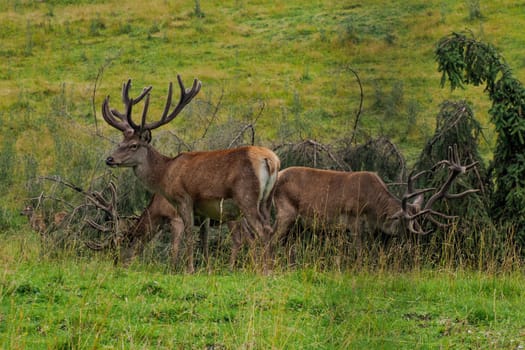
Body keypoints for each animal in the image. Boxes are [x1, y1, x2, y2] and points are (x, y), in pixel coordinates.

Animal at [101, 76, 278, 274]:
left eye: (133, 145)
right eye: (120, 142)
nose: (109, 159)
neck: (165, 174)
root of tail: (270, 160)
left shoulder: (183, 198)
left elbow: (188, 236)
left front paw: (188, 269)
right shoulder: (203, 212)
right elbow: (204, 239)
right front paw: (205, 269)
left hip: (246, 197)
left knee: (262, 231)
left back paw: (265, 271)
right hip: (266, 200)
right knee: (268, 228)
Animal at [272, 145, 476, 249]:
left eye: (419, 221)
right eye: (406, 223)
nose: (417, 241)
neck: (374, 210)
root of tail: (276, 177)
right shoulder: (353, 222)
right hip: (286, 213)